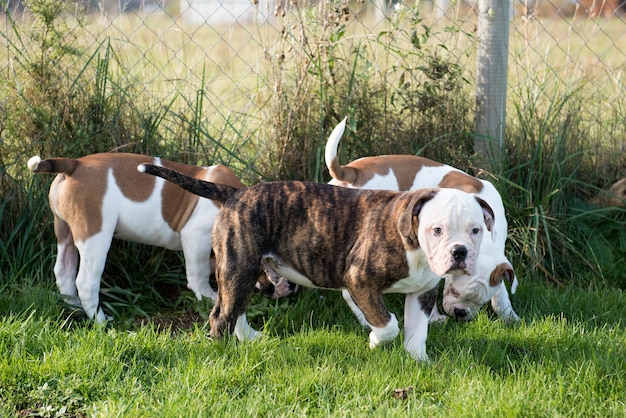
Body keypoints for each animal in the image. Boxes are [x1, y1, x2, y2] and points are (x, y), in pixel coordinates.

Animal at [139, 162, 494, 360]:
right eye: (438, 229)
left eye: (475, 230)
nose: (459, 252)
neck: (413, 241)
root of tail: (235, 193)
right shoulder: (360, 281)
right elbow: (388, 323)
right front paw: (375, 342)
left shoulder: (421, 292)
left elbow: (417, 329)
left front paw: (418, 360)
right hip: (238, 266)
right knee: (220, 314)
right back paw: (221, 353)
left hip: (246, 272)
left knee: (235, 307)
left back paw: (250, 339)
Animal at [324, 118, 520, 324]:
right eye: (454, 291)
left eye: (480, 301)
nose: (460, 313)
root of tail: (350, 172)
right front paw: (433, 318)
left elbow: (502, 292)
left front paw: (509, 315)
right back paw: (364, 319)